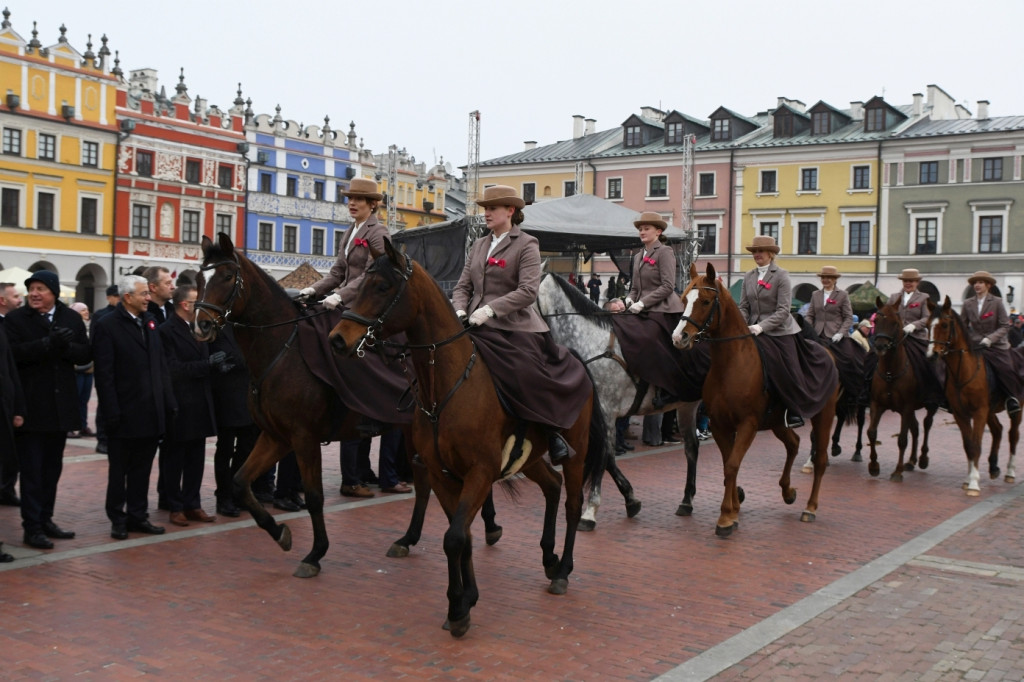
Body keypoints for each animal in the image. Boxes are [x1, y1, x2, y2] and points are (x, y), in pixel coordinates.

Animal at [327, 238, 602, 638]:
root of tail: (576, 358)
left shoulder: (480, 473)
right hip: (529, 457)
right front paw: (467, 596)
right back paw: (549, 556)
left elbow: (455, 537)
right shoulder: (444, 475)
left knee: (573, 503)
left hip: (576, 455)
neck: (444, 388)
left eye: (382, 287)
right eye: (360, 283)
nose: (336, 340)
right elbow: (462, 535)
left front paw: (458, 607)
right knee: (552, 486)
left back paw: (563, 569)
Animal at [532, 272, 708, 520]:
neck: (591, 344)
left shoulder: (605, 412)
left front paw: (591, 509)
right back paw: (687, 500)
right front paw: (630, 499)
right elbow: (606, 457)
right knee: (692, 447)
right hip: (687, 405)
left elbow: (603, 454)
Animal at [667, 262, 835, 532]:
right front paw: (734, 509)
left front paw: (726, 517)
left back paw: (810, 508)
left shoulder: (748, 424)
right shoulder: (720, 425)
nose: (678, 338)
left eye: (705, 301)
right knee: (793, 443)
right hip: (777, 422)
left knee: (819, 458)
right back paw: (788, 492)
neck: (731, 365)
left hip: (824, 416)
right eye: (683, 300)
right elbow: (728, 465)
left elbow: (732, 465)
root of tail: (827, 351)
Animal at [864, 294, 937, 481]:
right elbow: (871, 432)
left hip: (929, 404)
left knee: (927, 424)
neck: (890, 371)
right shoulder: (877, 404)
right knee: (916, 429)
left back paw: (923, 458)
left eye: (896, 323)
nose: (880, 346)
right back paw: (911, 461)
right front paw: (873, 466)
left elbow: (902, 439)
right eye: (876, 321)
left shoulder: (906, 407)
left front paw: (897, 471)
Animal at [929, 294, 1015, 491]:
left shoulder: (979, 412)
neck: (963, 372)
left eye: (944, 325)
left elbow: (976, 445)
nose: (932, 355)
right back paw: (993, 467)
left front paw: (974, 484)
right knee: (998, 430)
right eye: (928, 324)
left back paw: (1010, 472)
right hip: (990, 410)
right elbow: (968, 445)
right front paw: (969, 479)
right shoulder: (961, 413)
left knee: (1013, 435)